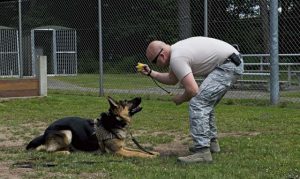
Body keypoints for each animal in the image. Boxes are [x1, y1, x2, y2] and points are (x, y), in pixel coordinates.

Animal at [25, 96, 159, 158]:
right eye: (127, 102)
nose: (140, 97)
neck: (115, 121)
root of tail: (46, 131)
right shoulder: (118, 151)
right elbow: (138, 153)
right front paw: (149, 157)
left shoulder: (123, 147)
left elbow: (138, 150)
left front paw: (153, 152)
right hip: (67, 133)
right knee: (45, 150)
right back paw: (64, 152)